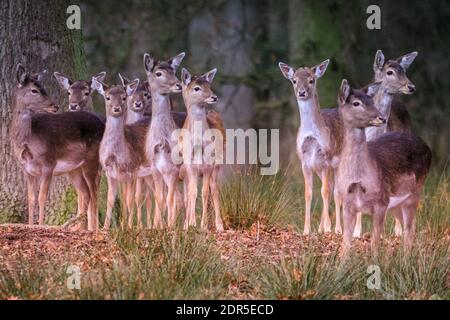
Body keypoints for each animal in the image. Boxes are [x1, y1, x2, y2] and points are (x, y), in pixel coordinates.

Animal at [11, 64, 105, 230]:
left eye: (44, 88)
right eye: (34, 90)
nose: (54, 106)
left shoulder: (49, 163)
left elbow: (42, 197)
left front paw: (41, 225)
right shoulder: (26, 169)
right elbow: (31, 198)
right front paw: (30, 225)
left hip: (92, 161)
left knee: (94, 193)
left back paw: (92, 229)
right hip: (74, 169)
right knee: (86, 192)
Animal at [179, 69, 225, 231]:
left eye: (209, 85)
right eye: (196, 88)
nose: (214, 97)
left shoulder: (208, 165)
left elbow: (205, 192)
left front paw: (203, 225)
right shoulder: (189, 165)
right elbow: (193, 192)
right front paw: (191, 223)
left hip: (218, 164)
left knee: (215, 189)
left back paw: (219, 225)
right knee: (187, 194)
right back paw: (186, 223)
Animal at [278, 59, 342, 235]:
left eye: (311, 80)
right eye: (294, 80)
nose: (301, 92)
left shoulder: (326, 158)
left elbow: (325, 191)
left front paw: (328, 227)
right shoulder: (305, 162)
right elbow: (308, 193)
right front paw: (307, 230)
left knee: (339, 191)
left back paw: (339, 229)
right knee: (333, 188)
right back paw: (322, 228)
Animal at [336, 80, 430, 255]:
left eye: (372, 101)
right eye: (356, 103)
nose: (381, 117)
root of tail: (428, 147)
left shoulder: (382, 202)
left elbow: (375, 243)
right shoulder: (347, 204)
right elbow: (345, 245)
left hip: (415, 191)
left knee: (409, 230)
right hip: (397, 203)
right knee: (409, 227)